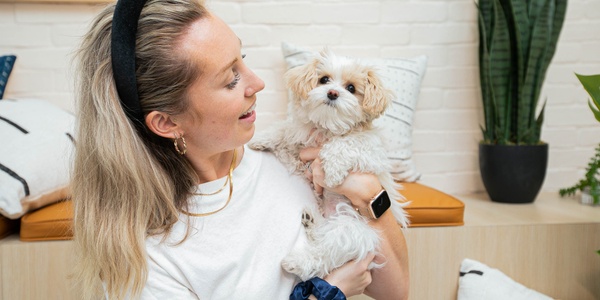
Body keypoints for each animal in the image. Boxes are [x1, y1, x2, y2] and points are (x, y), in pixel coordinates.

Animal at [251, 48, 410, 280]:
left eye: (351, 88)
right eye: (324, 79)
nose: (333, 93)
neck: (328, 127)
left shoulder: (371, 151)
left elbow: (345, 143)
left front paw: (333, 171)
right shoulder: (299, 150)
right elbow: (284, 130)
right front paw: (260, 139)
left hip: (352, 229)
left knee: (324, 254)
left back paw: (297, 262)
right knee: (320, 234)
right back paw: (312, 219)